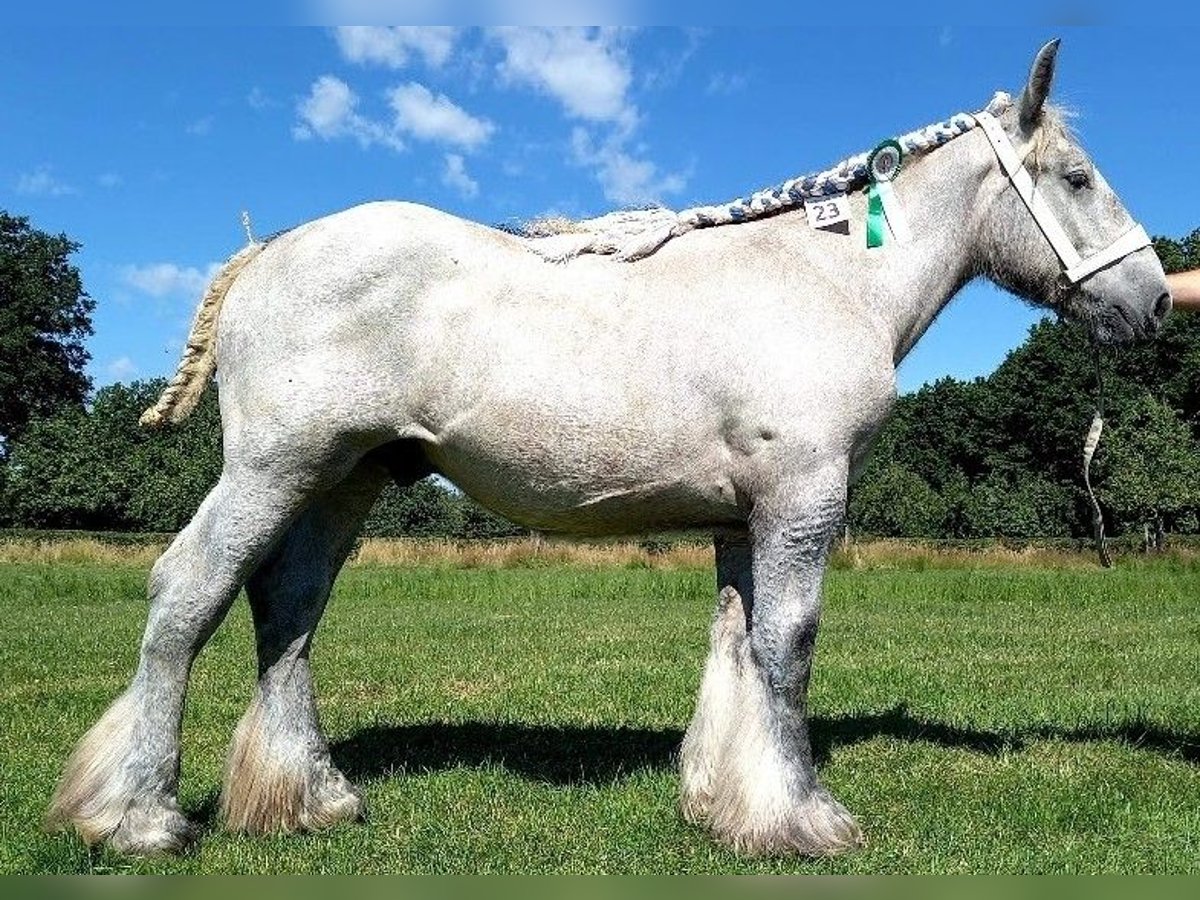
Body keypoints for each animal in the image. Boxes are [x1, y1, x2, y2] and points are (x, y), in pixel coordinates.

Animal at [49, 42, 1171, 859]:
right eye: (1076, 177)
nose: (1155, 300)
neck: (824, 279)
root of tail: (265, 251)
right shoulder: (804, 495)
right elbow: (789, 647)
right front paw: (806, 819)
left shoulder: (742, 517)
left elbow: (736, 644)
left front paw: (725, 803)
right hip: (276, 469)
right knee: (188, 591)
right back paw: (139, 818)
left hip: (344, 481)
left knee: (287, 609)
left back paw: (310, 800)